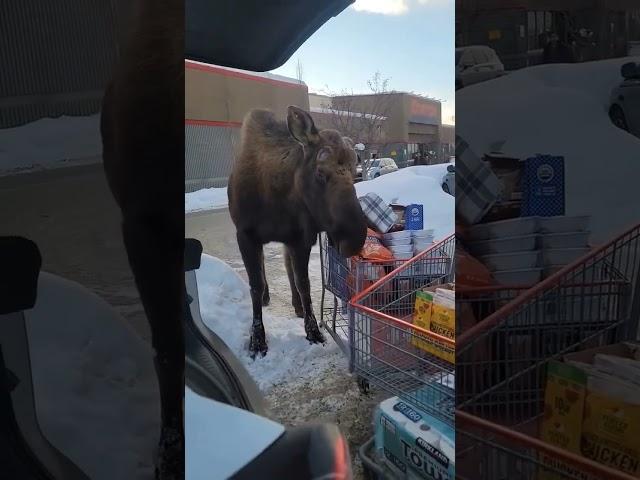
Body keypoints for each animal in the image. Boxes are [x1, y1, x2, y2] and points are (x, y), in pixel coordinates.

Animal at [229, 107, 368, 358]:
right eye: (320, 173)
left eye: (354, 172)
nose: (353, 240)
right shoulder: (245, 235)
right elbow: (255, 285)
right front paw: (257, 341)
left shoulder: (298, 238)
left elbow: (304, 284)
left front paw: (313, 331)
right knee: (264, 268)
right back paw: (268, 297)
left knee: (287, 267)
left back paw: (296, 305)